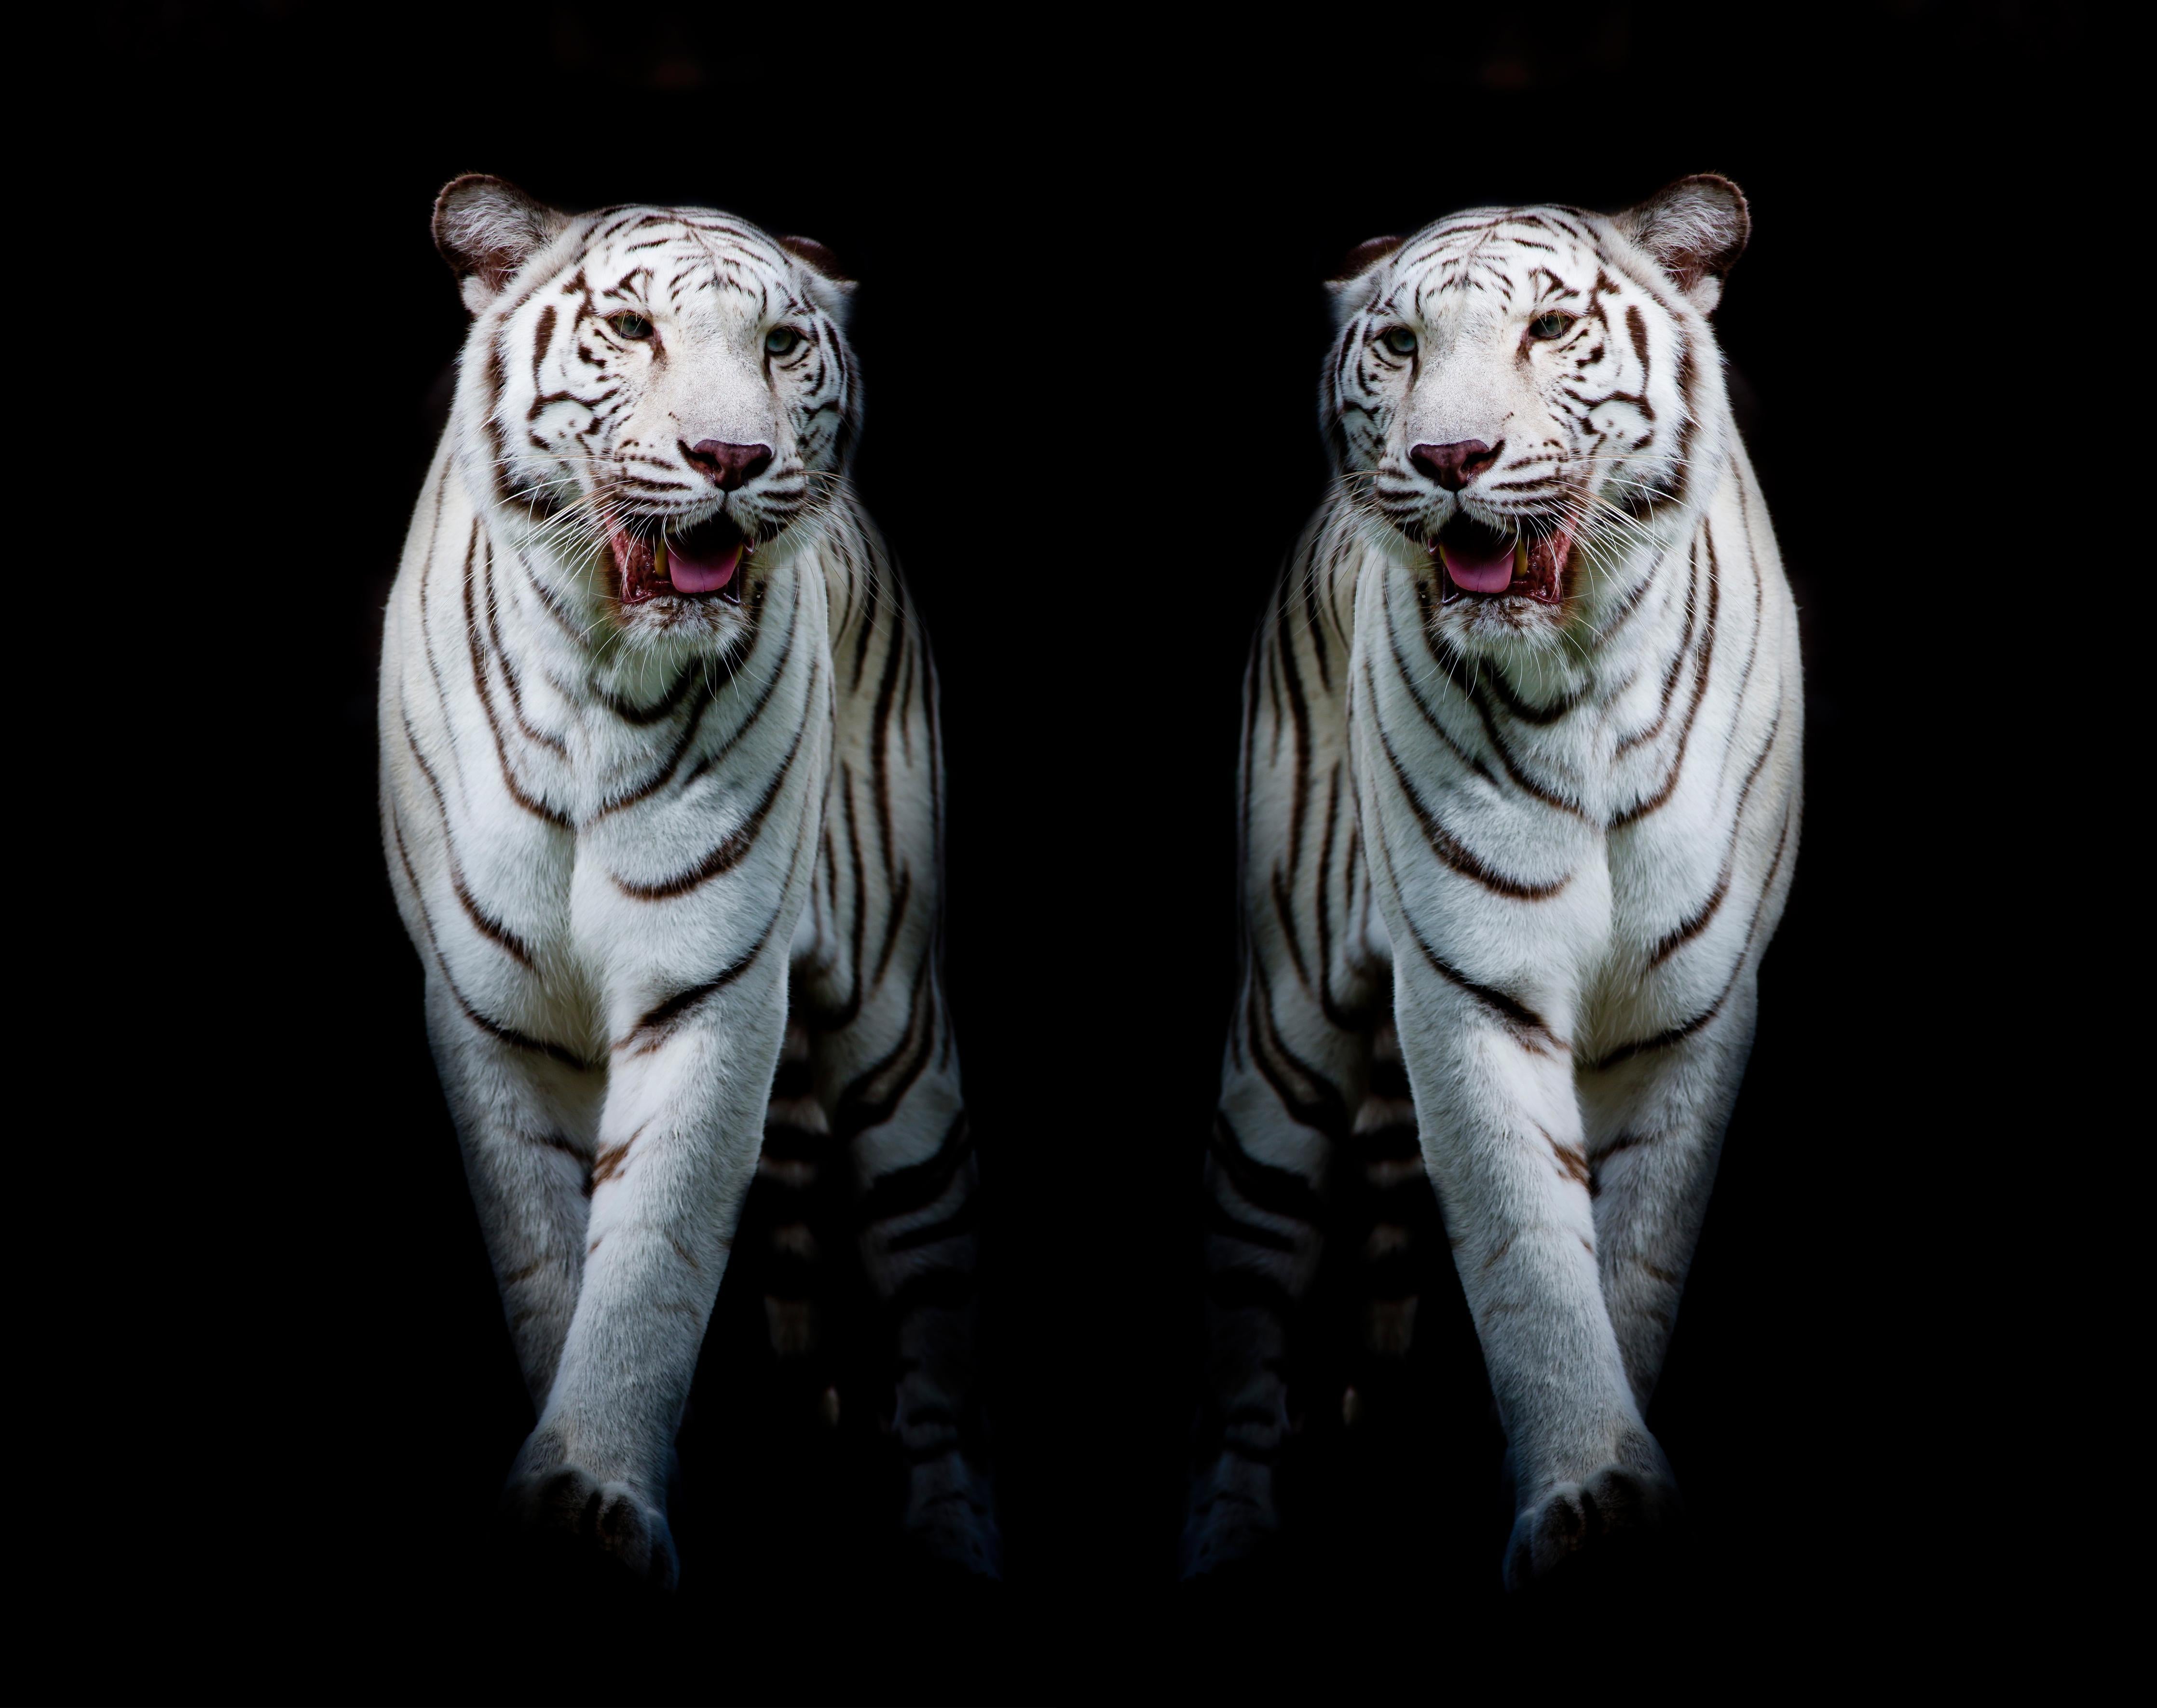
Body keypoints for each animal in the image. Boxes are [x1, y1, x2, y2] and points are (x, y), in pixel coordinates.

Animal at [378, 175, 994, 1587]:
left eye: (779, 345)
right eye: (630, 328)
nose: (730, 458)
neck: (598, 676)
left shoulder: (710, 984)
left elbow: (653, 1251)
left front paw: (595, 1490)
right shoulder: (489, 1008)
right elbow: (548, 1259)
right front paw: (567, 1492)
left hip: (895, 1030)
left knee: (933, 1295)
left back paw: (952, 1533)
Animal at [1185, 175, 1802, 1589]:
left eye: (1551, 328)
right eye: (1400, 345)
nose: (1450, 458)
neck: (1583, 679)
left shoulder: (1692, 1006)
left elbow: (1631, 1260)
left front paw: (1611, 1493)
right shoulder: (1470, 984)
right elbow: (1527, 1253)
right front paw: (1586, 1493)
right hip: (1284, 1031)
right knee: (1248, 1299)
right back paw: (1228, 1532)